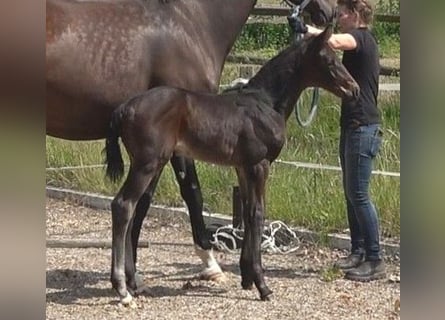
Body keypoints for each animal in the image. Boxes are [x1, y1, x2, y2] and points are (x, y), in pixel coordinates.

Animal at [46, 0, 336, 290]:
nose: (330, 12)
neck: (192, 22)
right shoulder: (177, 146)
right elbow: (192, 193)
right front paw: (210, 264)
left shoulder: (163, 150)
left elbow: (144, 201)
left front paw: (132, 273)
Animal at [104, 25, 358, 302]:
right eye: (329, 60)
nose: (353, 88)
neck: (264, 103)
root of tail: (124, 108)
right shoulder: (260, 165)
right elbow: (258, 214)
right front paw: (262, 285)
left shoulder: (243, 167)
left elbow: (246, 213)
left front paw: (247, 277)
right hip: (147, 164)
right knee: (123, 206)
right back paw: (122, 288)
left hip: (148, 164)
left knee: (132, 210)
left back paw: (132, 283)